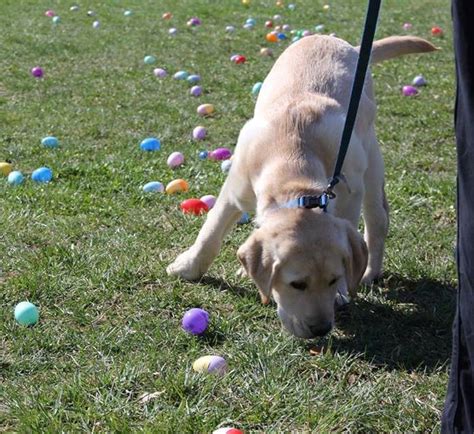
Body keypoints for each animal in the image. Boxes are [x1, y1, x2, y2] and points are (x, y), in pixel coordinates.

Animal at [168, 34, 436, 340]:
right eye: (297, 284)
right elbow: (210, 233)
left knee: (378, 219)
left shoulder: (350, 194)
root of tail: (349, 45)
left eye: (332, 279)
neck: (294, 170)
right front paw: (188, 267)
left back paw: (370, 271)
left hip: (370, 157)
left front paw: (342, 291)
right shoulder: (235, 190)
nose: (320, 330)